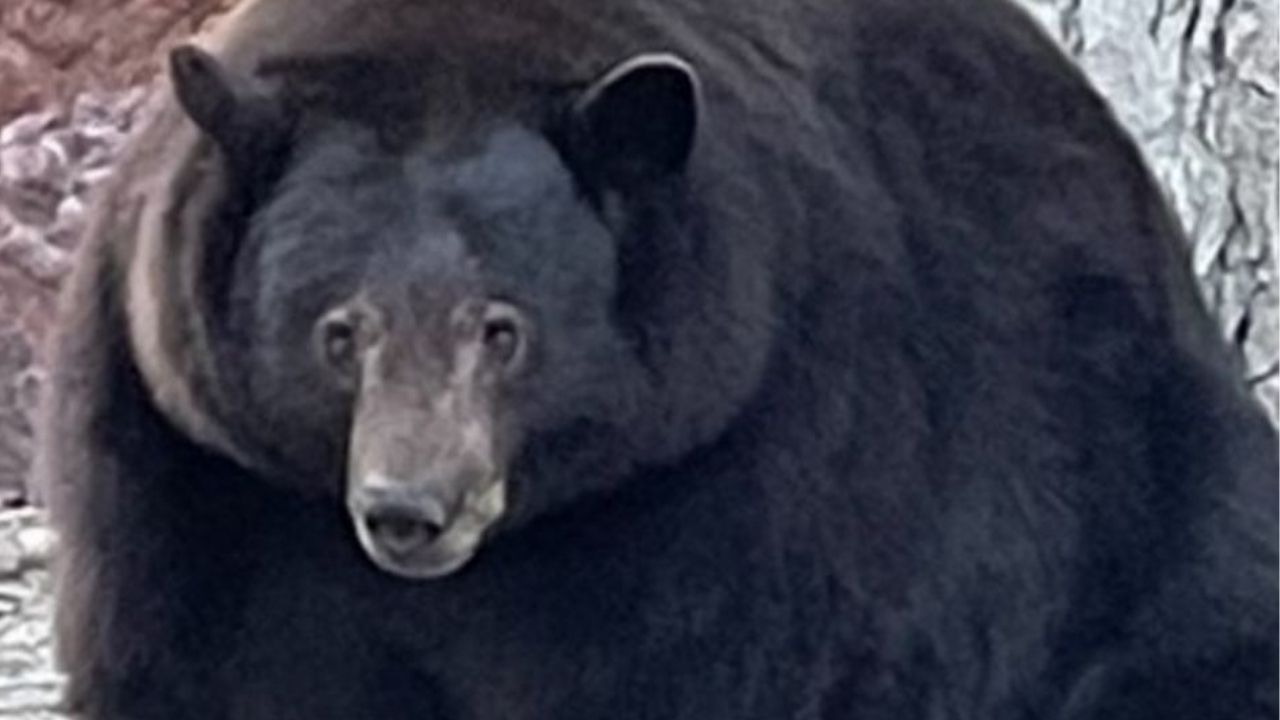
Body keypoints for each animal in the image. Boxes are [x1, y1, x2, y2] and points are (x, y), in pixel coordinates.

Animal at [36, 0, 1278, 717]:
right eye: (338, 331)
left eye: (504, 327)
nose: (409, 510)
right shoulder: (193, 474)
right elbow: (201, 667)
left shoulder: (754, 464)